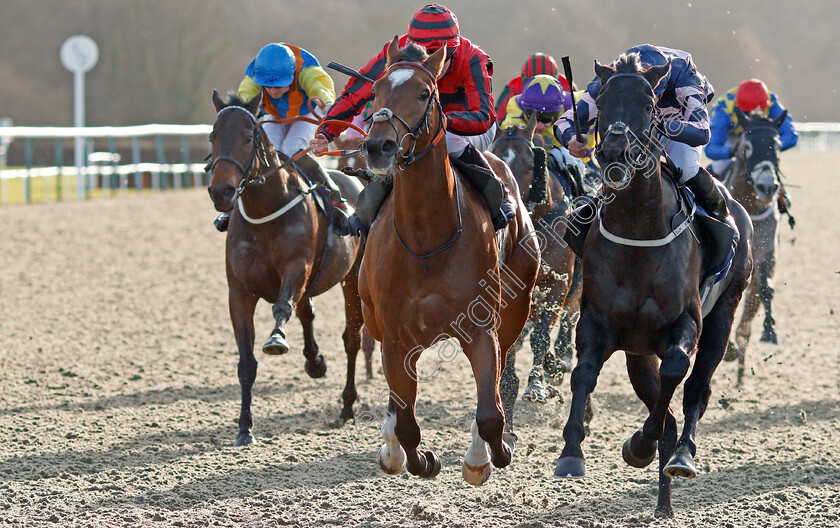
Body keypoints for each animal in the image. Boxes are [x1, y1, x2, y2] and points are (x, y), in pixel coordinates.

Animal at [207, 91, 364, 446]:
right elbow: (246, 363)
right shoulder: (239, 292)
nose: (221, 191)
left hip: (353, 279)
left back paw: (348, 405)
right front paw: (244, 427)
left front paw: (277, 338)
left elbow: (281, 308)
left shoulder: (296, 267)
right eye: (212, 136)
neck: (265, 208)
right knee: (307, 313)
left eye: (247, 137)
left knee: (352, 338)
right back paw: (315, 362)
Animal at [360, 40, 540, 486]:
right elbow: (407, 420)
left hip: (515, 309)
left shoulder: (481, 328)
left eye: (424, 93)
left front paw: (488, 456)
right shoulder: (395, 337)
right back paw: (391, 446)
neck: (427, 238)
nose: (377, 146)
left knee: (498, 381)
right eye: (376, 92)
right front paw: (417, 458)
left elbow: (491, 412)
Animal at [488, 121, 580, 402]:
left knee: (567, 320)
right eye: (495, 158)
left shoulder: (558, 285)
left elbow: (540, 336)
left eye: (530, 165)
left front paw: (536, 383)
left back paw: (561, 360)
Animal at [552, 55, 756, 516]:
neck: (638, 232)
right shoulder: (599, 321)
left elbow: (677, 370)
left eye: (648, 105)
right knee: (666, 406)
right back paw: (663, 501)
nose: (613, 151)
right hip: (639, 350)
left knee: (695, 391)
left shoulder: (686, 321)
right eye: (603, 102)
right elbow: (584, 373)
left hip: (723, 315)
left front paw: (643, 445)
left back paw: (681, 457)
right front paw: (572, 454)